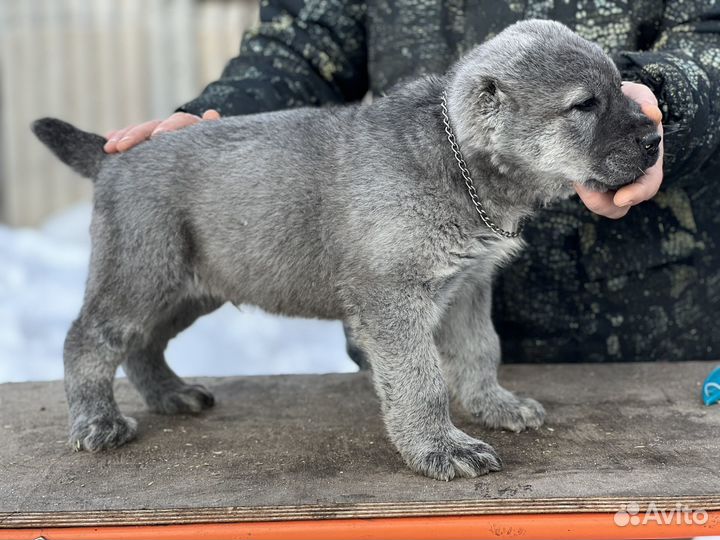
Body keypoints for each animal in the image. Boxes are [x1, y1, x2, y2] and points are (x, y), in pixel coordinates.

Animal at [33, 20, 660, 480]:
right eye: (584, 105)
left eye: (620, 88)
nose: (656, 136)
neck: (456, 159)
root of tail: (114, 157)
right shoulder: (393, 300)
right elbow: (421, 380)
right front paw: (441, 448)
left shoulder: (466, 289)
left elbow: (481, 351)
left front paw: (494, 406)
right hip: (142, 274)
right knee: (89, 339)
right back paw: (98, 422)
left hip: (190, 288)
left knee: (142, 344)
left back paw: (169, 394)